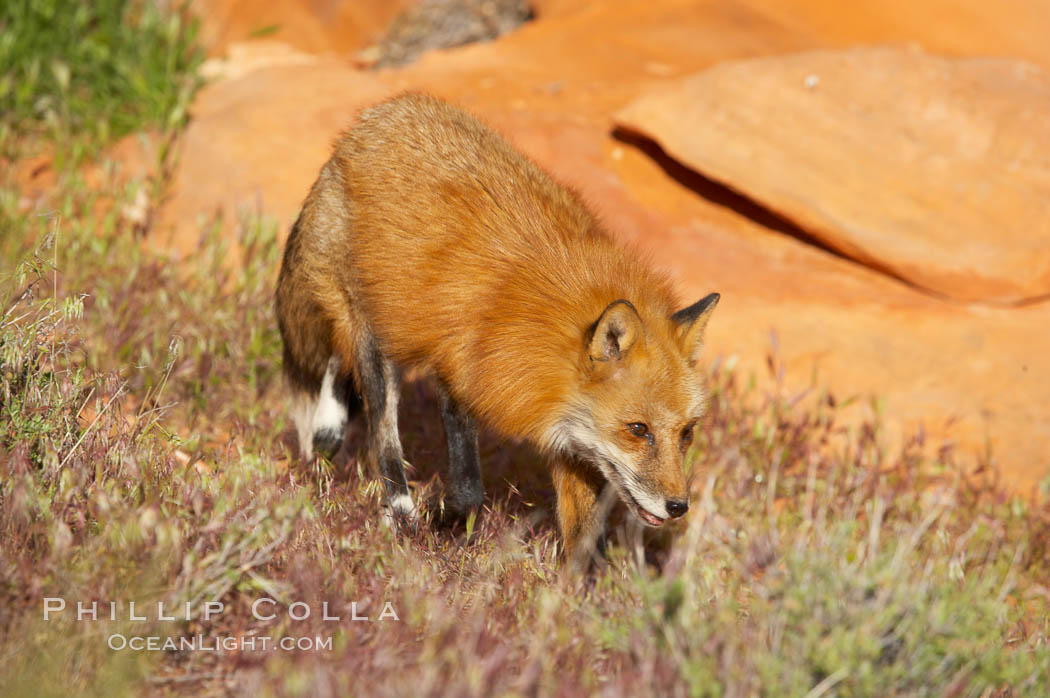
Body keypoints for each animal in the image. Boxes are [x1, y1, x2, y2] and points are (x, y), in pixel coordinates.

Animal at [275, 95, 718, 570]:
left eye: (686, 433)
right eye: (638, 429)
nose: (679, 506)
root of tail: (371, 120)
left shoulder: (576, 446)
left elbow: (584, 543)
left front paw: (575, 590)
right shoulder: (461, 375)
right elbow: (469, 488)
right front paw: (442, 524)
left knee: (339, 367)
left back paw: (325, 439)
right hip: (372, 330)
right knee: (381, 432)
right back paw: (397, 507)